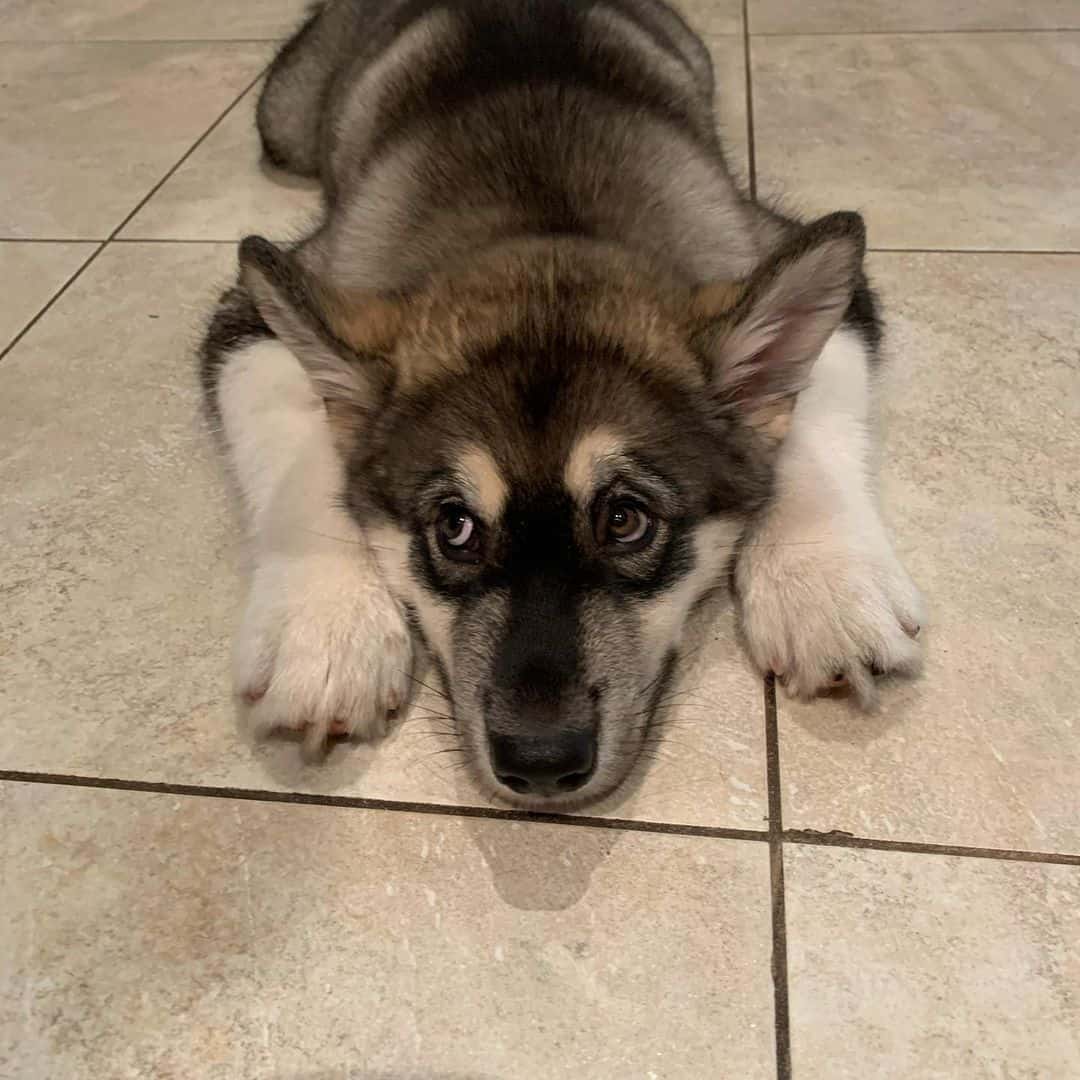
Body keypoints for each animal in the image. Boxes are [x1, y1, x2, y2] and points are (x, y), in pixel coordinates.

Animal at [198, 0, 924, 807]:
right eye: (453, 528)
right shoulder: (250, 319)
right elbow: (303, 452)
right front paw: (323, 630)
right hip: (287, 118)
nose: (542, 764)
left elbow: (810, 422)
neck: (541, 218)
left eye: (625, 519)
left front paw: (824, 589)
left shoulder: (801, 269)